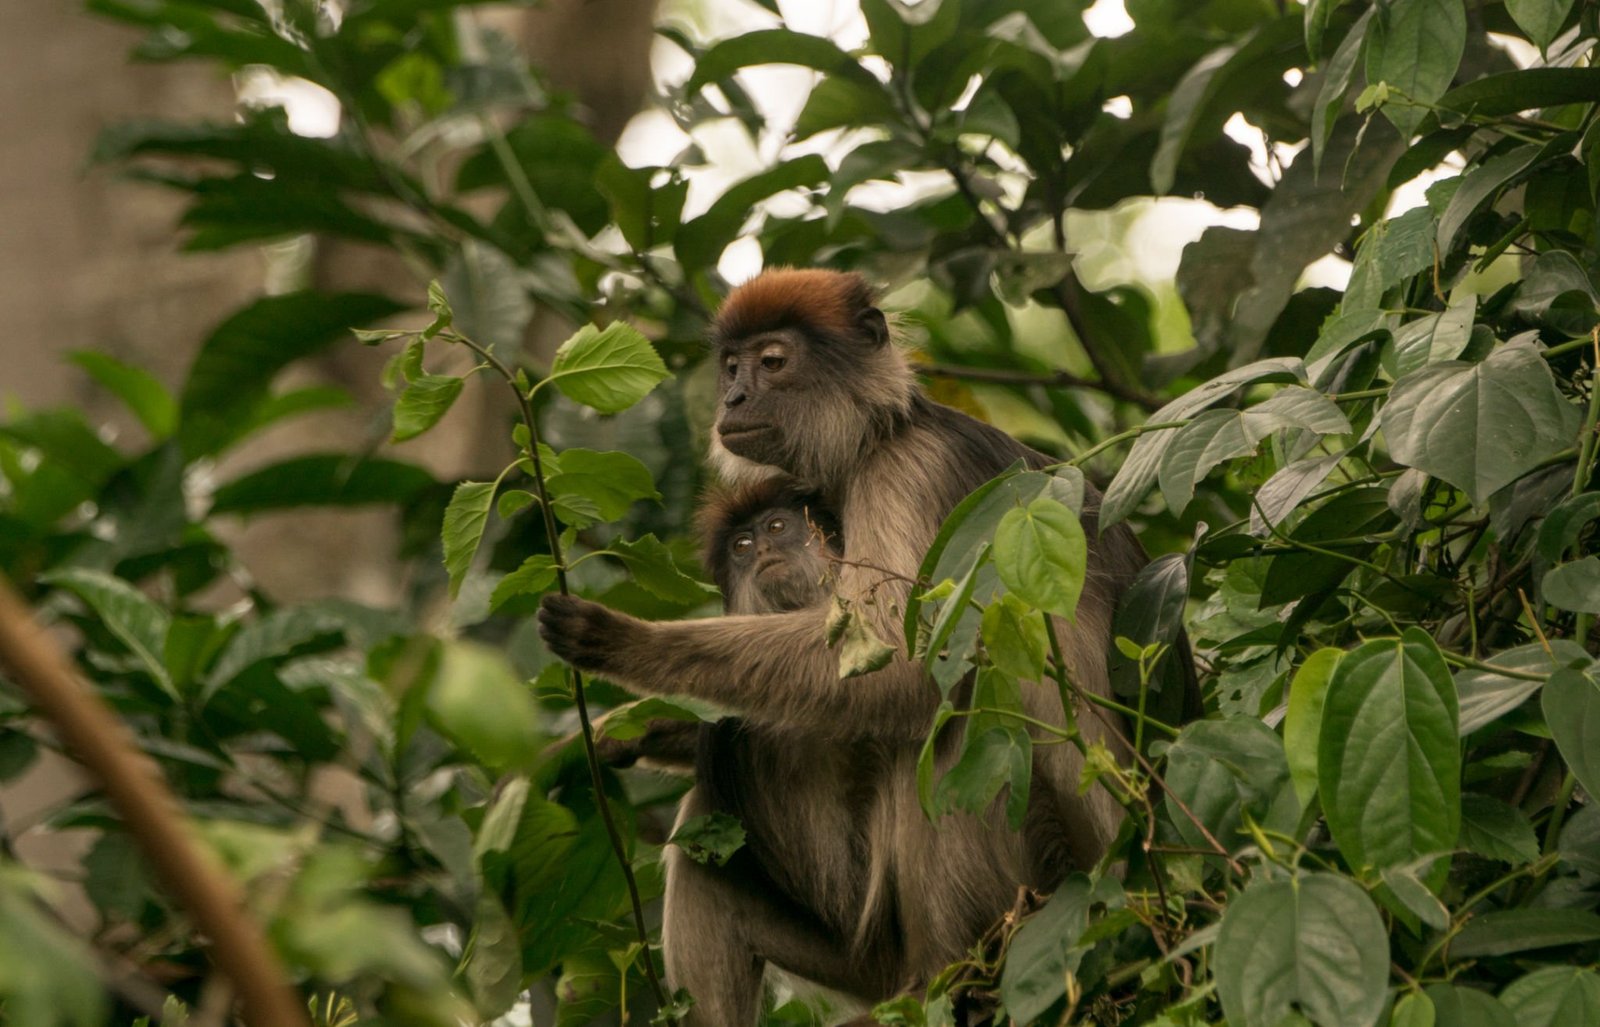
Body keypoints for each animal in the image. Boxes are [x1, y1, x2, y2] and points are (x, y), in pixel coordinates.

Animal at [544, 268, 1184, 1017]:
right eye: (730, 367)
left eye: (772, 362)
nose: (733, 398)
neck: (884, 429)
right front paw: (627, 728)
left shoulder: (905, 474)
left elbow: (900, 670)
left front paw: (622, 642)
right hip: (864, 956)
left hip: (1065, 878)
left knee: (956, 715)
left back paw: (948, 976)